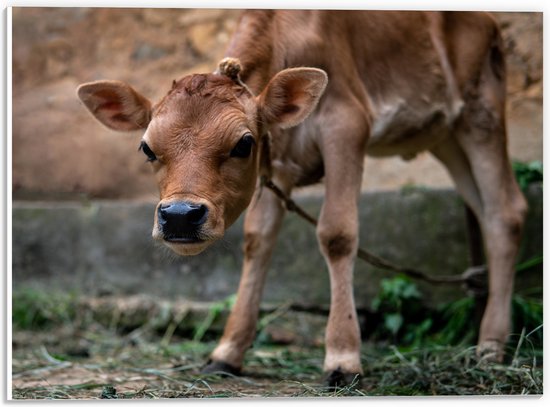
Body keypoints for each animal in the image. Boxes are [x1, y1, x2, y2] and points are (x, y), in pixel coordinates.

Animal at [78, 8, 532, 386]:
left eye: (243, 144)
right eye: (147, 148)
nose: (178, 215)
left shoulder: (346, 125)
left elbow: (337, 234)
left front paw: (343, 357)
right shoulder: (276, 159)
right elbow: (257, 240)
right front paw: (227, 352)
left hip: (482, 112)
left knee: (505, 212)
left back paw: (491, 345)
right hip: (445, 135)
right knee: (482, 208)